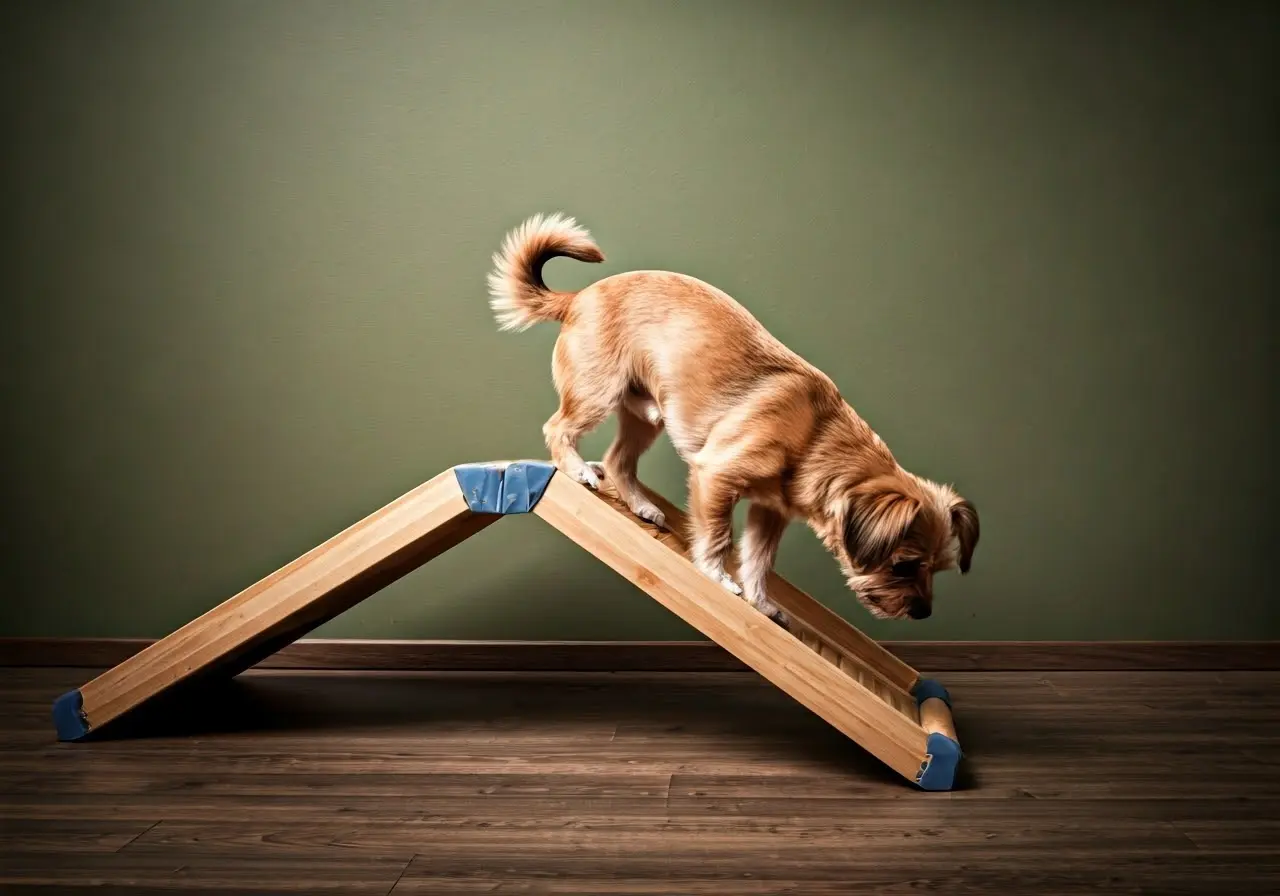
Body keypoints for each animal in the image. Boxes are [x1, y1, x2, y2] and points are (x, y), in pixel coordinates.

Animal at [488, 215, 977, 622]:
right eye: (904, 565)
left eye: (937, 568)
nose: (923, 613)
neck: (815, 437)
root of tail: (578, 298)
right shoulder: (716, 478)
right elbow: (719, 537)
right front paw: (719, 577)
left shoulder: (768, 513)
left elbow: (758, 562)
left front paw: (761, 603)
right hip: (597, 394)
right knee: (559, 429)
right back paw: (576, 470)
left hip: (647, 417)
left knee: (618, 460)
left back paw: (641, 505)